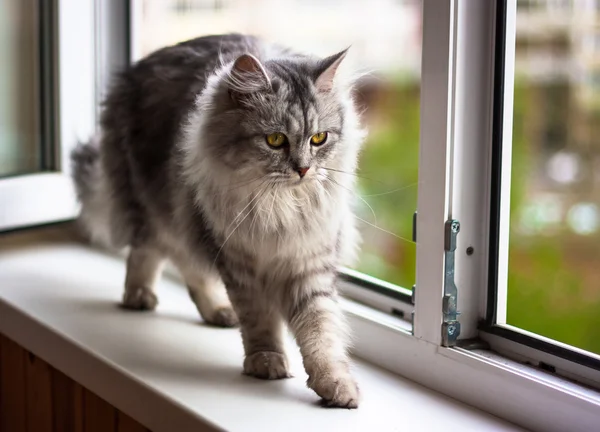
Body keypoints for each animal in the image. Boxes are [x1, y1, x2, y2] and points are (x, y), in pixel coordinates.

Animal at [71, 33, 366, 408]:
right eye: (275, 140)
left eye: (319, 138)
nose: (303, 169)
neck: (279, 208)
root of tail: (135, 69)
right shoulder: (237, 259)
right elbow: (259, 320)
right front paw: (265, 362)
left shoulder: (308, 260)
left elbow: (321, 329)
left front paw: (335, 383)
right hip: (159, 206)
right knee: (147, 252)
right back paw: (139, 296)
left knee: (187, 265)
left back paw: (217, 311)